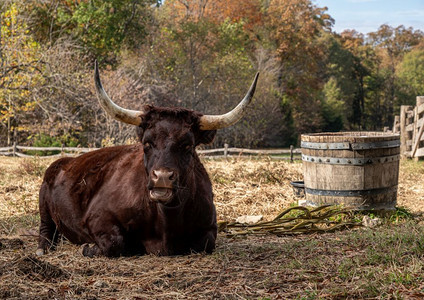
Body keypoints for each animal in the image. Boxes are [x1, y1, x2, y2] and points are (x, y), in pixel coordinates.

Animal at [36, 61, 258, 258]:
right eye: (147, 144)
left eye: (188, 146)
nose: (162, 177)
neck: (166, 223)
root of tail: (63, 161)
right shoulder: (98, 217)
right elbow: (114, 242)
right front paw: (88, 248)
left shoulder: (209, 227)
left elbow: (205, 243)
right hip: (44, 203)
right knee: (46, 229)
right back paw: (43, 248)